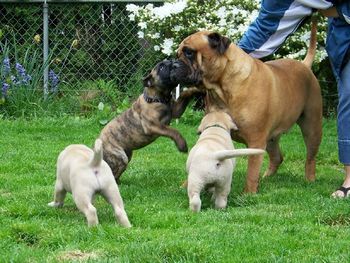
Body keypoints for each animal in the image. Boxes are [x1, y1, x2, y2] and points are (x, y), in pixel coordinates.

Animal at [173, 21, 322, 194]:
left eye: (189, 52)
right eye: (178, 54)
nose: (174, 63)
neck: (222, 88)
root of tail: (305, 65)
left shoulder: (256, 141)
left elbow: (252, 169)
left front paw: (249, 193)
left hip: (312, 127)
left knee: (310, 157)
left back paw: (309, 179)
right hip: (271, 138)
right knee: (277, 157)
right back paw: (267, 177)